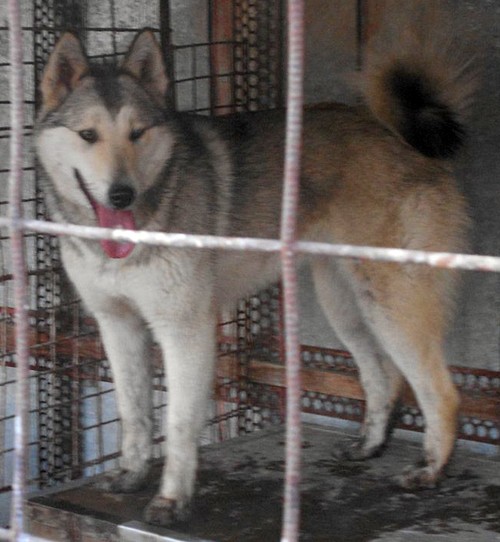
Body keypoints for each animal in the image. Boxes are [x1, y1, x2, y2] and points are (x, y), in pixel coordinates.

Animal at [35, 16, 475, 526]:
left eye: (138, 133)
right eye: (88, 135)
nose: (121, 194)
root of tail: (398, 135)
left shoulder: (184, 329)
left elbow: (179, 423)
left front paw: (171, 499)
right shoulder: (116, 324)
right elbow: (134, 411)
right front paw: (131, 475)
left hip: (391, 307)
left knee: (440, 391)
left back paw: (430, 471)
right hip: (347, 307)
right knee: (384, 377)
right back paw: (369, 445)